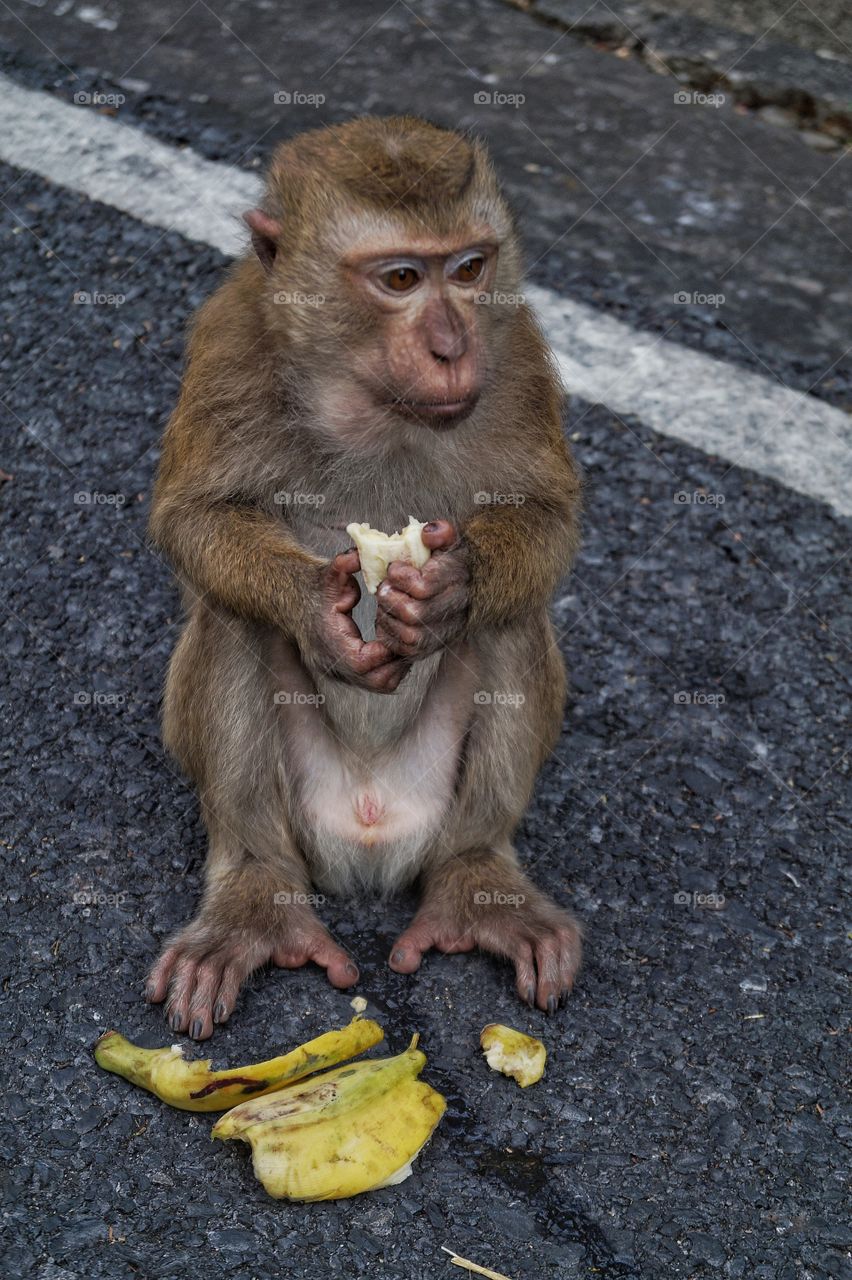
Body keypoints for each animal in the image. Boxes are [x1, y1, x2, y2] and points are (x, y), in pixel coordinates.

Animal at [145, 115, 583, 1040]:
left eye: (469, 268)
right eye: (401, 278)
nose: (452, 346)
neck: (371, 400)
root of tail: (372, 840)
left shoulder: (518, 351)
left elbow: (549, 518)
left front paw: (451, 592)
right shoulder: (233, 340)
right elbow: (193, 519)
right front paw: (317, 611)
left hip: (432, 806)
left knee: (514, 620)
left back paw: (477, 880)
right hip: (305, 814)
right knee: (232, 620)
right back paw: (256, 897)